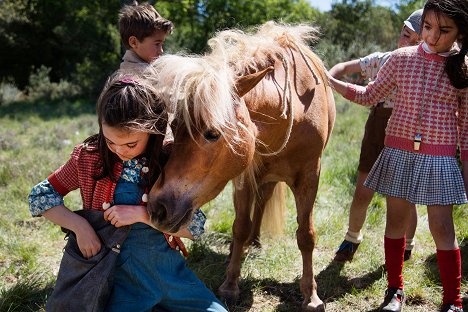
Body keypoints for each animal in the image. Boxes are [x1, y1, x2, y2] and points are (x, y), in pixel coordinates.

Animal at [144, 20, 334, 310]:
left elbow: (306, 235)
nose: (157, 208)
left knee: (264, 201)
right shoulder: (243, 175)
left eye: (212, 133)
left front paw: (310, 296)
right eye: (174, 128)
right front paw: (231, 284)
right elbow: (240, 226)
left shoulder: (310, 176)